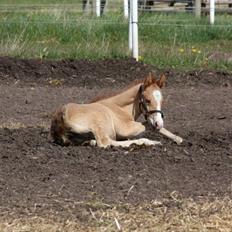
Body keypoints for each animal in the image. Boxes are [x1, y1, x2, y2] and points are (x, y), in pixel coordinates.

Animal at [50, 73, 183, 148]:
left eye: (162, 101)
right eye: (147, 100)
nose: (159, 123)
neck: (119, 108)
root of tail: (62, 116)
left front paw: (177, 139)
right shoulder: (126, 128)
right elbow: (148, 125)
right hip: (98, 124)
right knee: (105, 143)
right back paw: (147, 142)